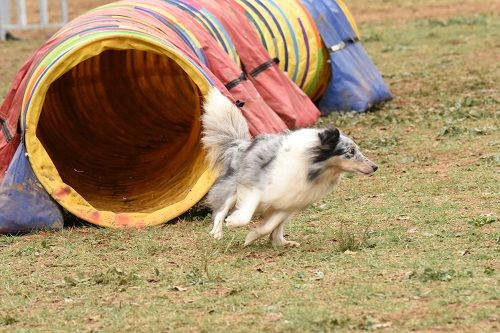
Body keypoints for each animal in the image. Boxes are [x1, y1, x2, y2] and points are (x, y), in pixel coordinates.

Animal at [201, 88, 376, 246]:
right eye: (351, 152)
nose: (375, 167)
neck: (312, 168)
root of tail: (241, 143)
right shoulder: (256, 186)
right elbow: (245, 215)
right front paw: (233, 222)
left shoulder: (289, 201)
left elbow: (269, 226)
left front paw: (252, 236)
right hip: (232, 186)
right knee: (221, 208)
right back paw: (217, 231)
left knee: (276, 230)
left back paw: (283, 242)